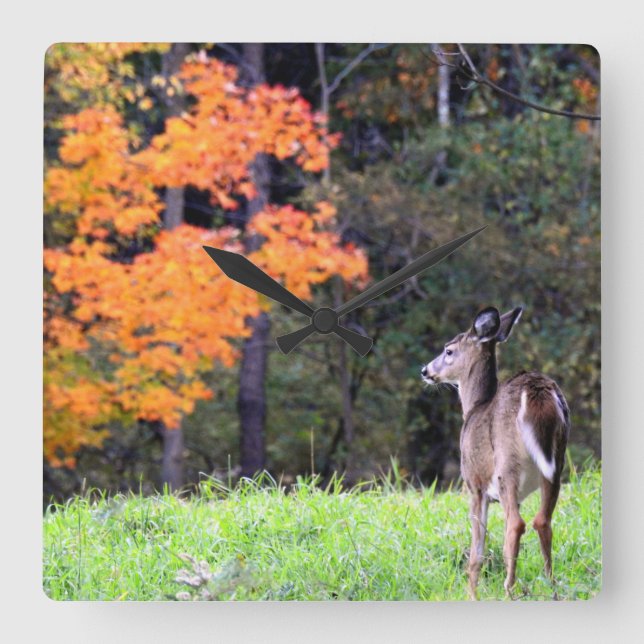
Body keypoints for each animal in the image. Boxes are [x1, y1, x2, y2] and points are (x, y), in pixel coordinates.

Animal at [421, 306, 570, 600]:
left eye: (448, 350)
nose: (425, 370)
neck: (473, 407)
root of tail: (537, 391)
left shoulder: (474, 484)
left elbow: (476, 553)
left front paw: (472, 595)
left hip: (507, 464)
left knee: (516, 524)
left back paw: (508, 589)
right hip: (556, 461)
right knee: (542, 520)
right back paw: (551, 585)